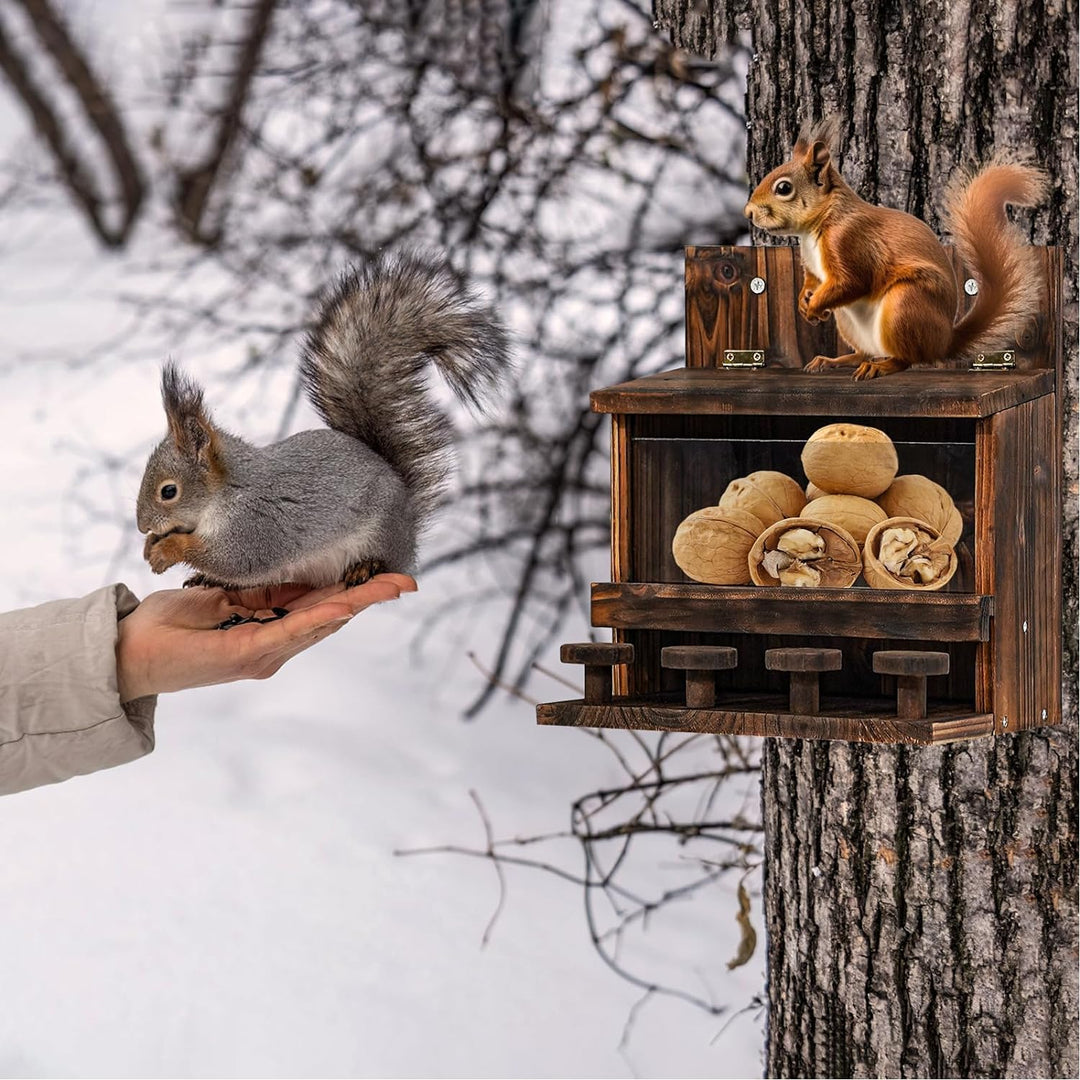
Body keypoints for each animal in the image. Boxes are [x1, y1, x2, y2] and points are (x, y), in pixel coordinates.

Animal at [136, 251, 510, 590]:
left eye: (168, 491)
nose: (142, 526)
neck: (227, 491)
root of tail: (409, 528)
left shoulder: (256, 526)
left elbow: (236, 560)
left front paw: (168, 549)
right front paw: (152, 546)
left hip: (380, 538)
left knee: (384, 562)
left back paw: (366, 567)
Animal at [743, 120, 1047, 380]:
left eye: (784, 188)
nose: (748, 213)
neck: (815, 227)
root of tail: (944, 341)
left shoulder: (851, 242)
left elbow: (852, 282)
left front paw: (815, 305)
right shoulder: (814, 268)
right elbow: (813, 281)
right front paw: (804, 303)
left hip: (906, 303)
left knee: (907, 359)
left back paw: (880, 366)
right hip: (851, 322)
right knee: (864, 353)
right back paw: (833, 361)